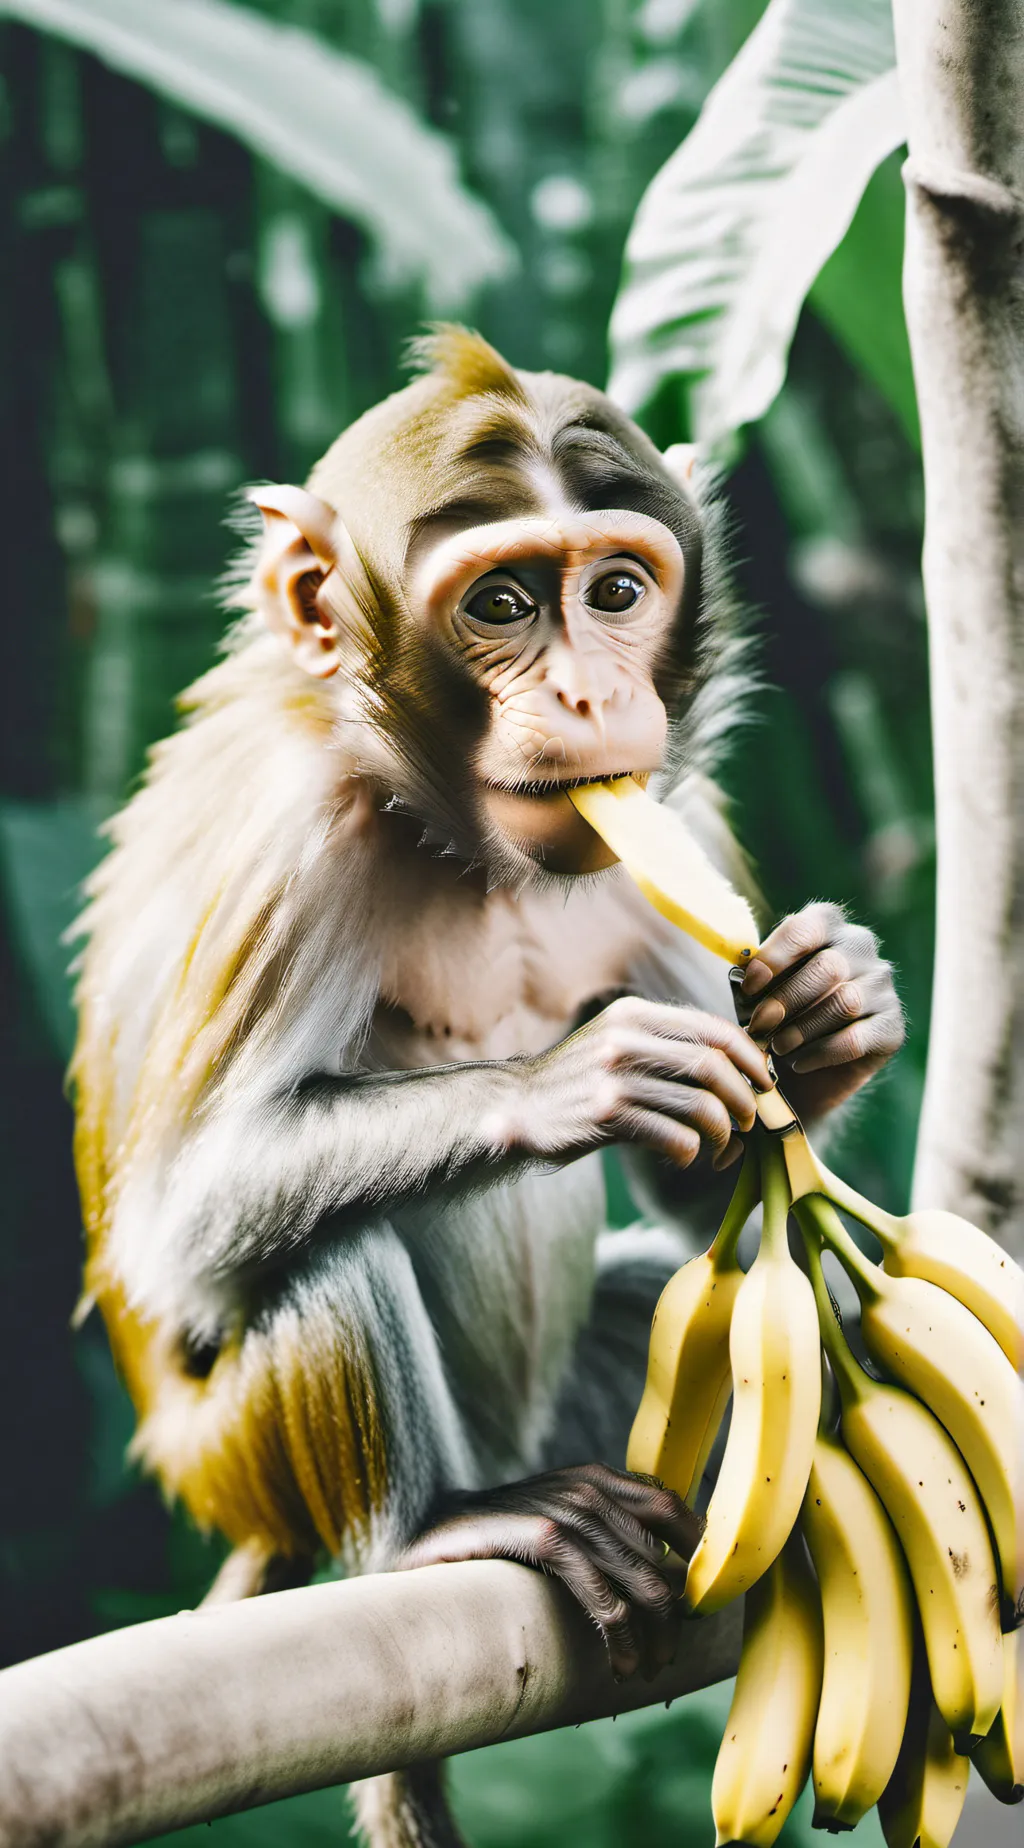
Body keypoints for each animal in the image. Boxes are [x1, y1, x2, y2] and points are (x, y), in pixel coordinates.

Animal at [70, 328, 904, 1848]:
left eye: (618, 590)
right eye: (503, 603)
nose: (587, 695)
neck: (461, 840)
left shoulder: (670, 820)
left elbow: (711, 1174)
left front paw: (831, 1010)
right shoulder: (297, 841)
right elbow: (177, 1229)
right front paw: (588, 1076)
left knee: (647, 1298)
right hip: (239, 1456)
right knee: (323, 1257)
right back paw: (435, 1532)